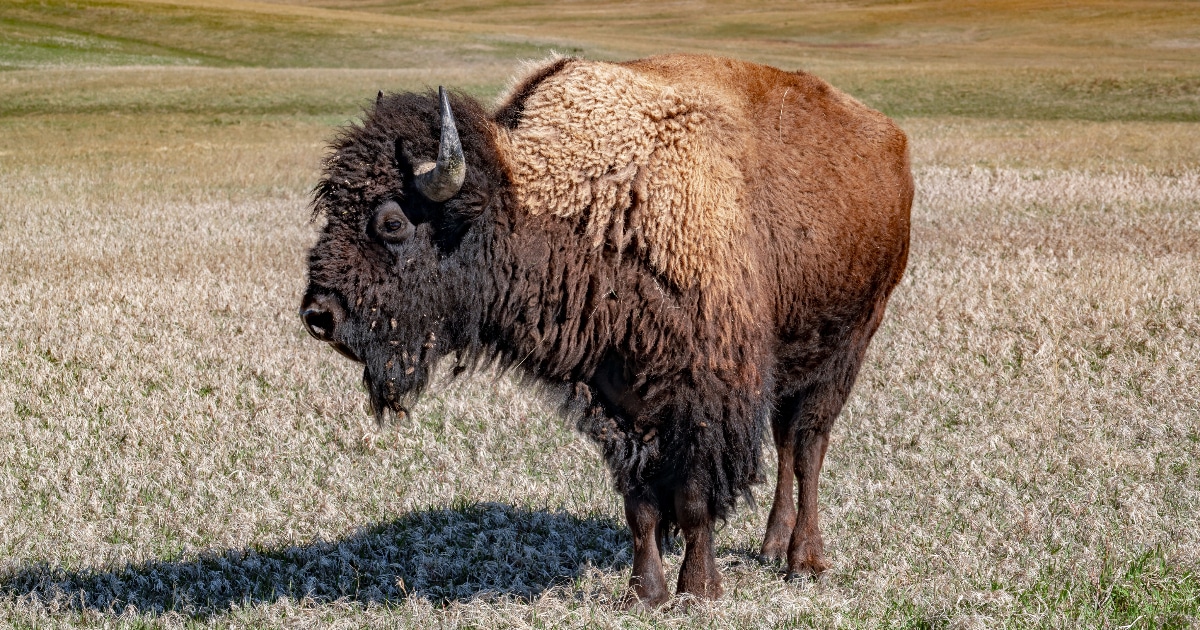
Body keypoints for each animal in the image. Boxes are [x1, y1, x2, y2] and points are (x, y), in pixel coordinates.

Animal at [300, 54, 912, 607]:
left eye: (392, 222)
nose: (318, 315)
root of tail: (892, 138)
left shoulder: (703, 397)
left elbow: (694, 499)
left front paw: (700, 590)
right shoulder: (619, 400)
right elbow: (639, 504)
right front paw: (645, 593)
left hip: (847, 348)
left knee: (807, 447)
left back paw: (804, 560)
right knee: (788, 442)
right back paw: (771, 546)